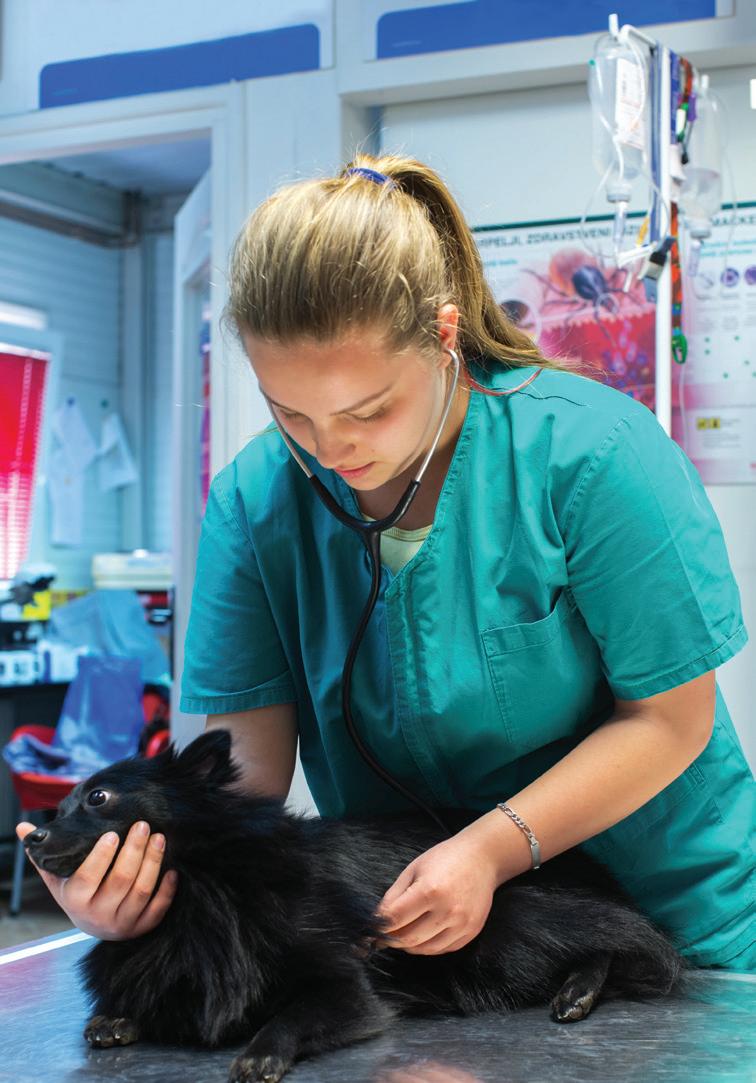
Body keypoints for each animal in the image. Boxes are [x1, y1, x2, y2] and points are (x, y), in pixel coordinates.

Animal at [23, 728, 685, 1083]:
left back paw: (579, 990)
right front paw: (120, 1017)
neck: (203, 889)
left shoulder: (346, 989)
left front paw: (262, 1051)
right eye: (62, 805)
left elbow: (289, 1015)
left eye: (98, 798)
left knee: (622, 943)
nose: (31, 837)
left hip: (508, 927)